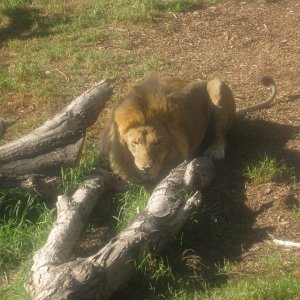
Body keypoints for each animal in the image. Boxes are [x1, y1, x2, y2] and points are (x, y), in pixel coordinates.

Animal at [98, 75, 276, 185]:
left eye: (158, 143)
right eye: (135, 143)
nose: (146, 168)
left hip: (217, 85)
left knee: (222, 136)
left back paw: (215, 150)